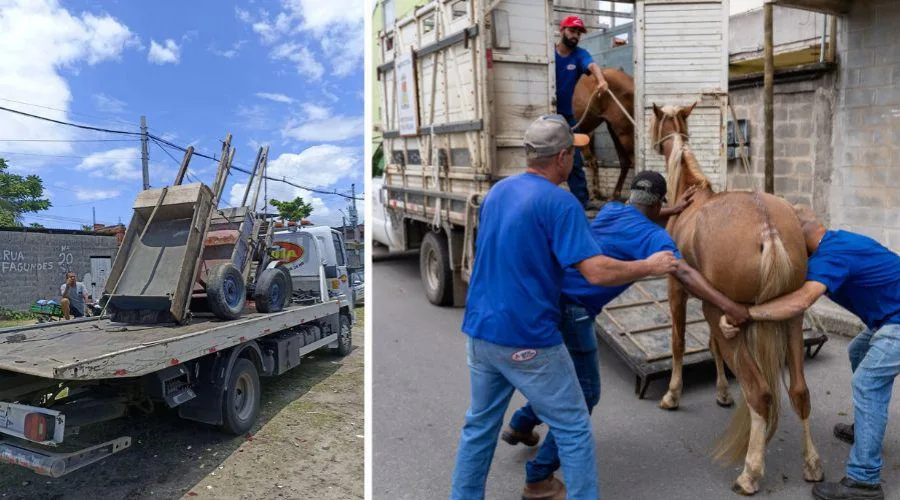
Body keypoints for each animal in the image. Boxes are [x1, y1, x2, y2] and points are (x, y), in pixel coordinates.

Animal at [652, 103, 828, 494]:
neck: (692, 195)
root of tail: (768, 229)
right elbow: (711, 347)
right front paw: (722, 393)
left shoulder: (679, 291)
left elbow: (678, 343)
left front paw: (673, 395)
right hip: (791, 318)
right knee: (799, 391)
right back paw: (811, 464)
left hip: (723, 313)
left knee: (760, 393)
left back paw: (750, 472)